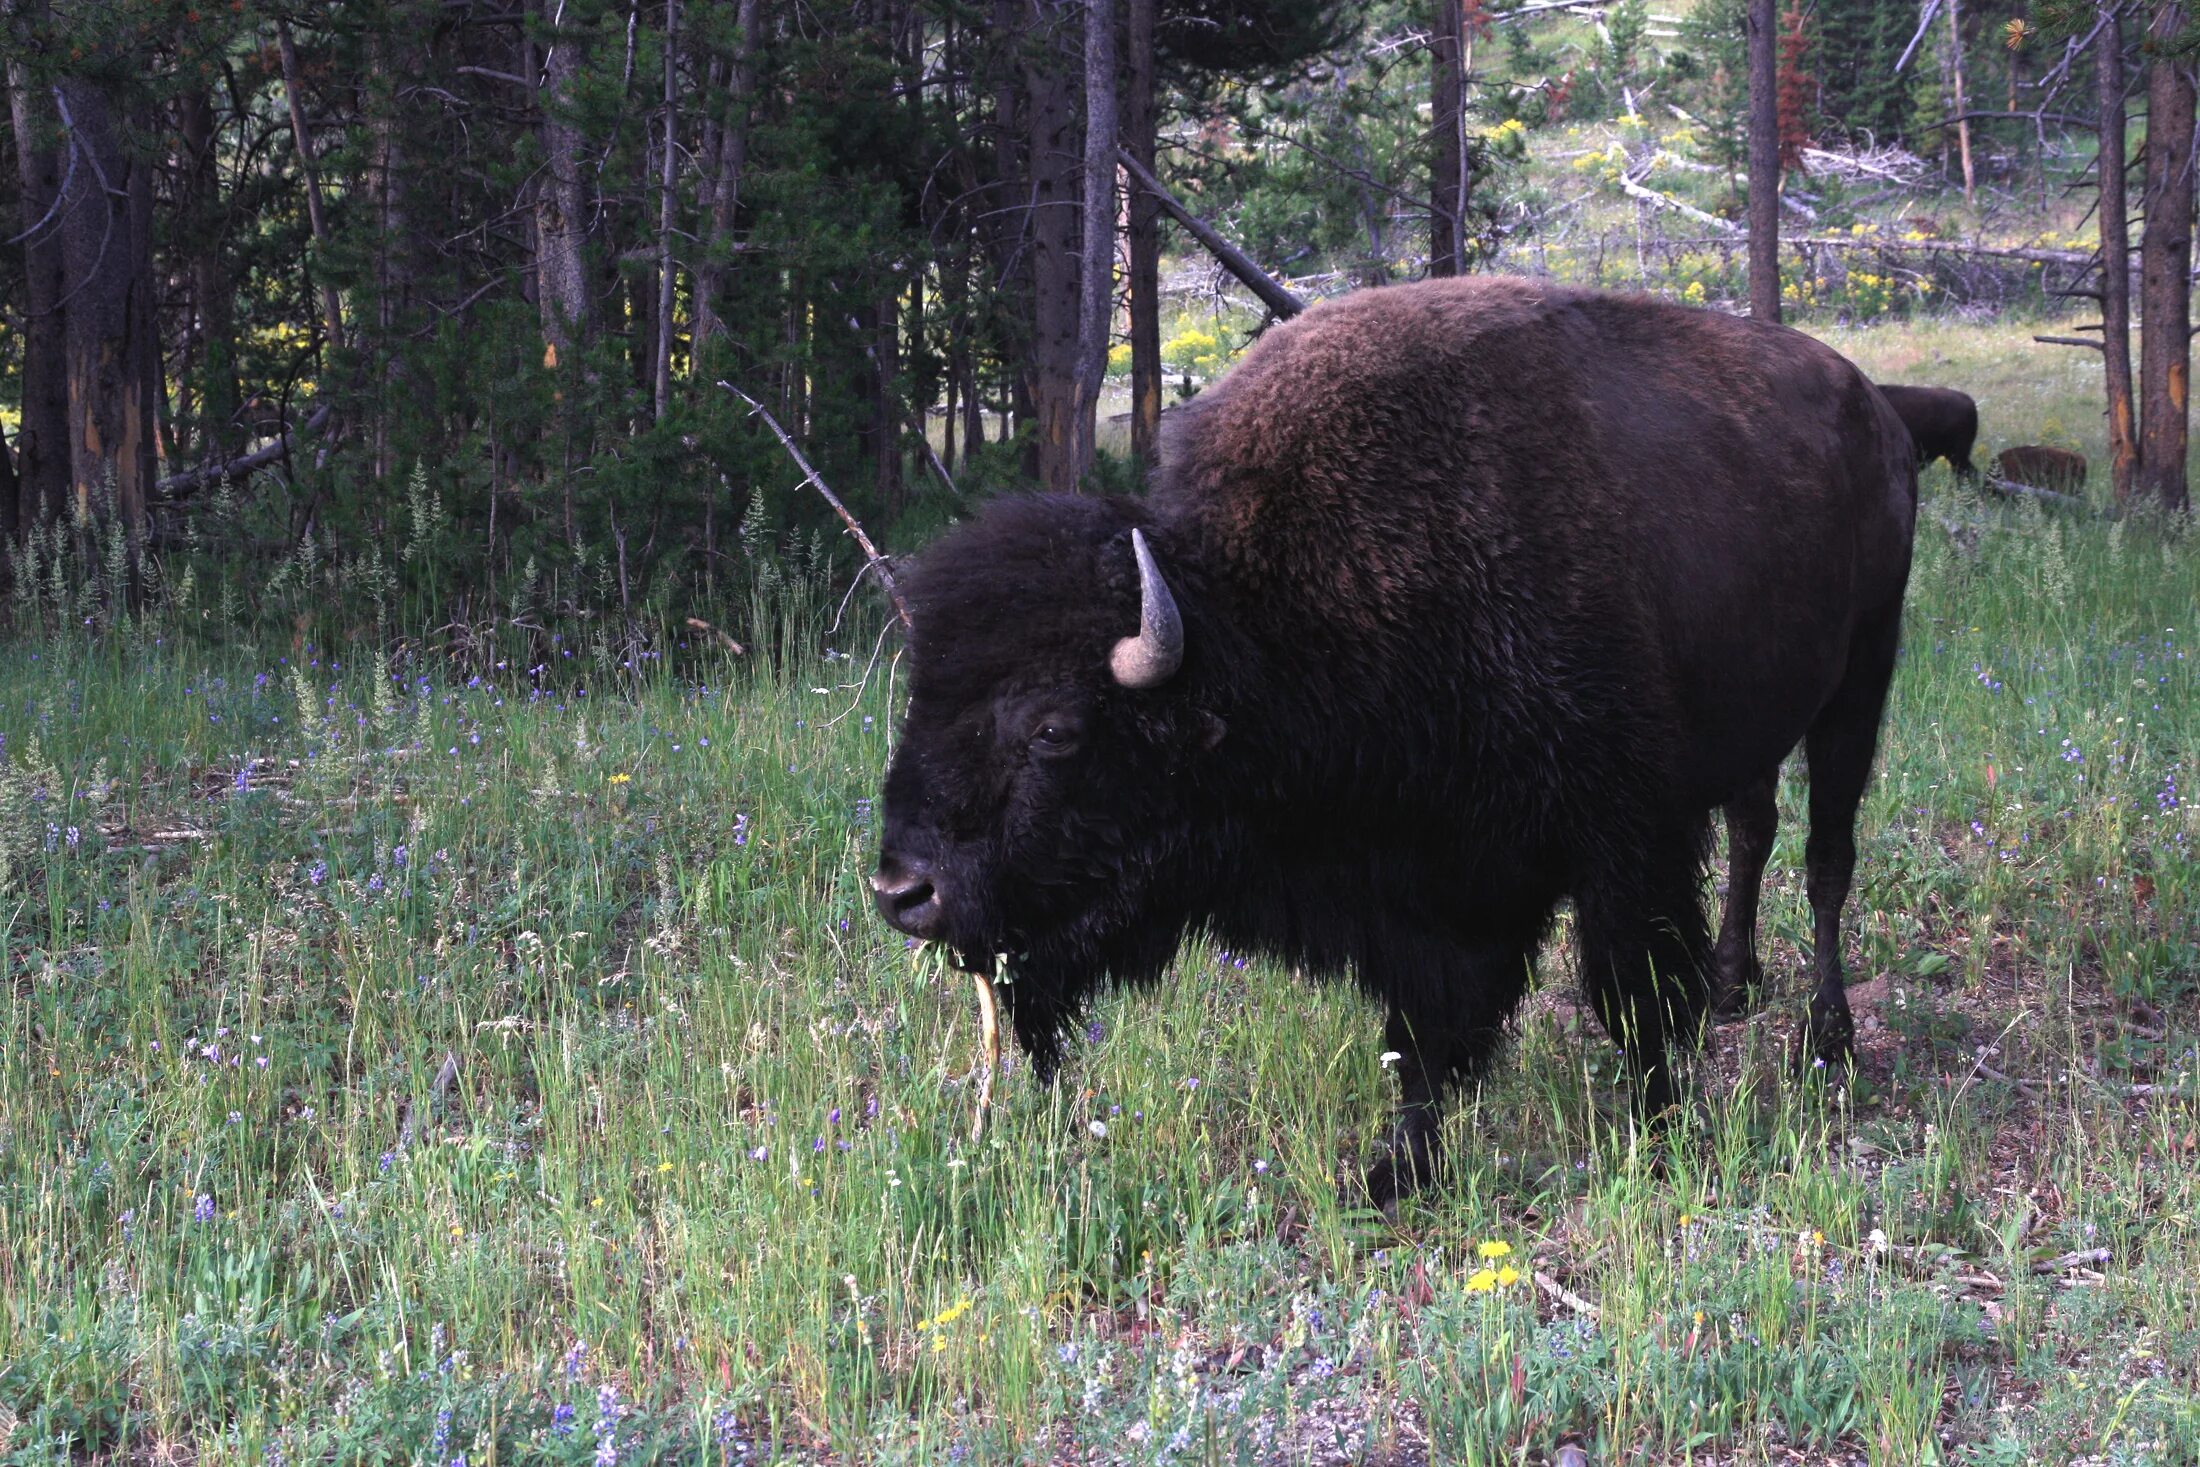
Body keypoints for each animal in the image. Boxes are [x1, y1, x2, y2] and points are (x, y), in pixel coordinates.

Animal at [866, 278, 1918, 1205]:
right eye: (923, 695)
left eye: (1054, 729)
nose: (902, 891)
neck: (1271, 621)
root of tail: (1873, 405)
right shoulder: (1425, 889)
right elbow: (1424, 1035)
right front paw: (1398, 1172)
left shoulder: (1627, 840)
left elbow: (1635, 992)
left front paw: (1661, 1134)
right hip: (1761, 725)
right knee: (1754, 829)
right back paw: (1741, 985)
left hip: (1861, 680)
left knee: (1827, 858)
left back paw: (1828, 1039)